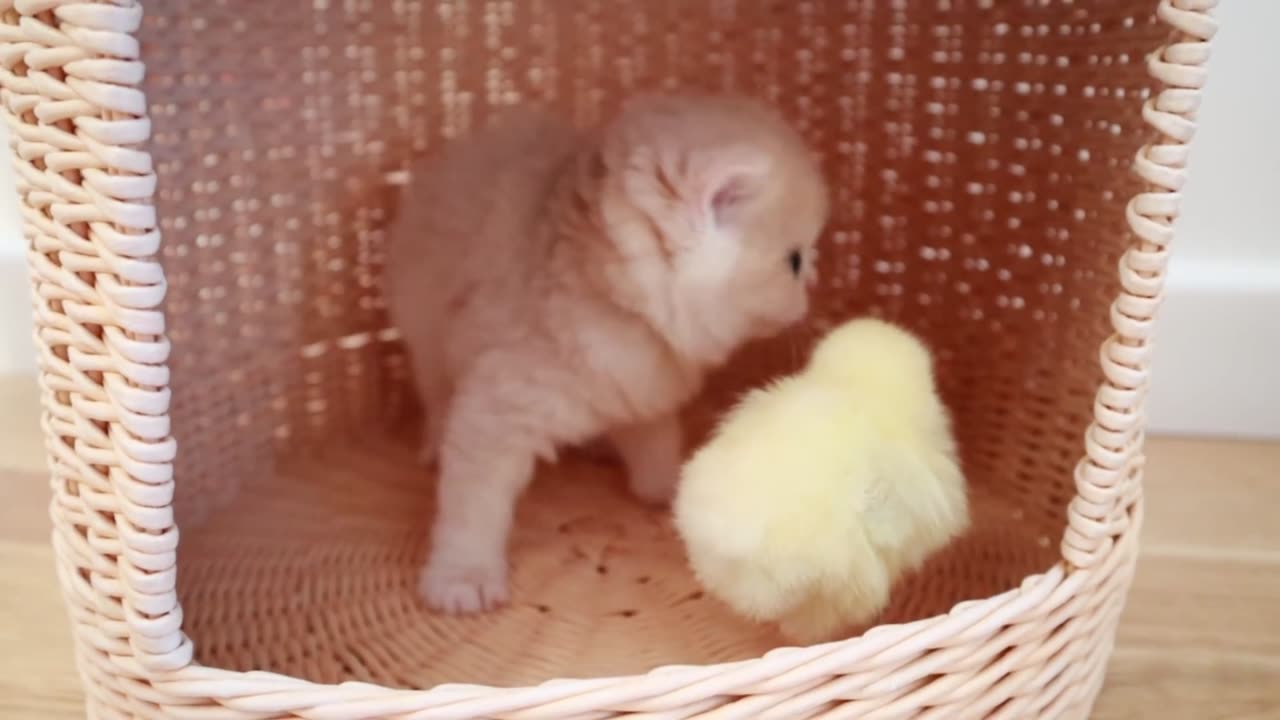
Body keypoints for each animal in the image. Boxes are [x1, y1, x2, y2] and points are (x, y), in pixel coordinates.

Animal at [384, 94, 824, 609]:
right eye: (793, 261)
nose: (811, 288)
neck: (606, 295)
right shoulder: (495, 410)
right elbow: (473, 506)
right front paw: (462, 575)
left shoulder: (640, 392)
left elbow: (656, 452)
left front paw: (673, 491)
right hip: (425, 324)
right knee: (435, 392)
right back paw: (434, 441)